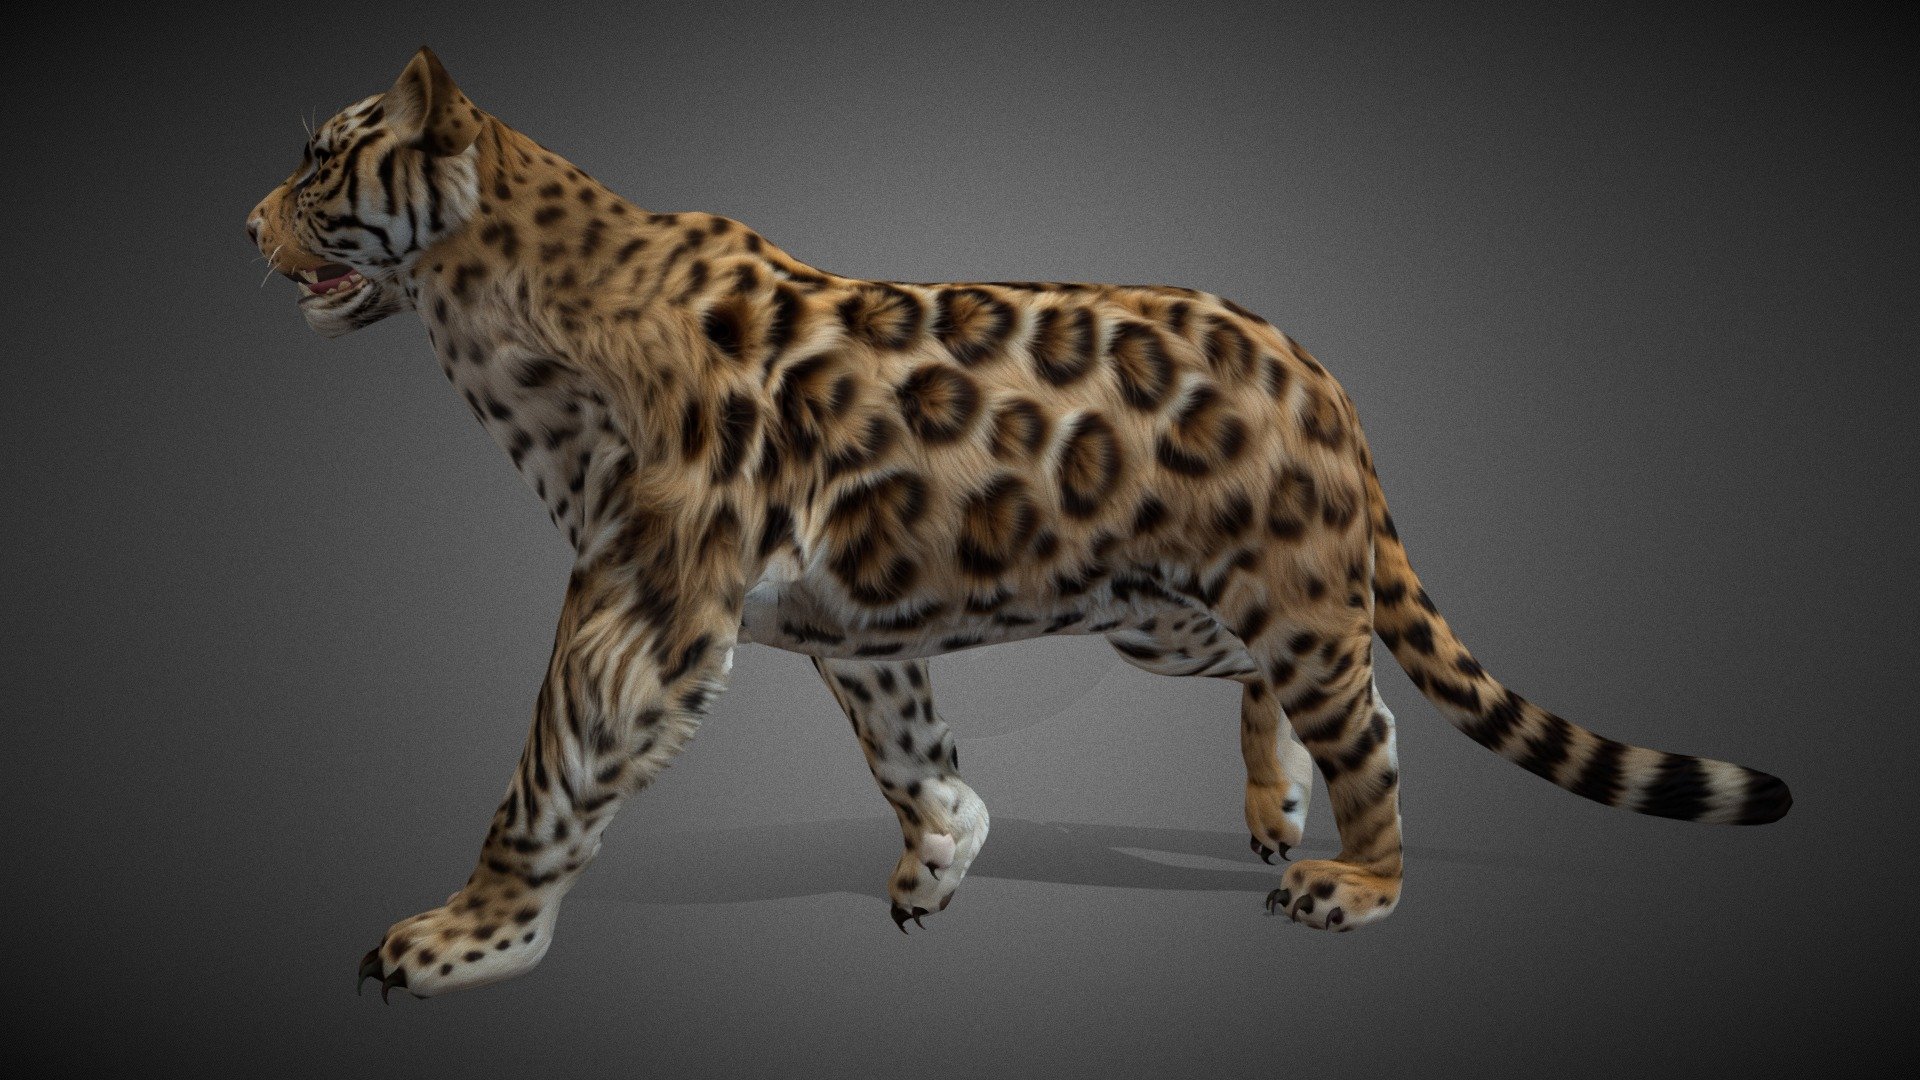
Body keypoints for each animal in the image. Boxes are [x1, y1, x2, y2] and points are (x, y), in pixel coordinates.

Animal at [246, 48, 1790, 1000]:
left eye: (322, 163)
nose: (247, 223)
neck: (496, 321)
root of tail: (1314, 364)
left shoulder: (642, 608)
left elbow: (547, 779)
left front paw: (465, 938)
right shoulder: (848, 630)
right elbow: (911, 752)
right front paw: (944, 855)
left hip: (1283, 590)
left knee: (1376, 724)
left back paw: (1357, 882)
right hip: (1172, 615)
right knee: (1301, 694)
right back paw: (1275, 803)